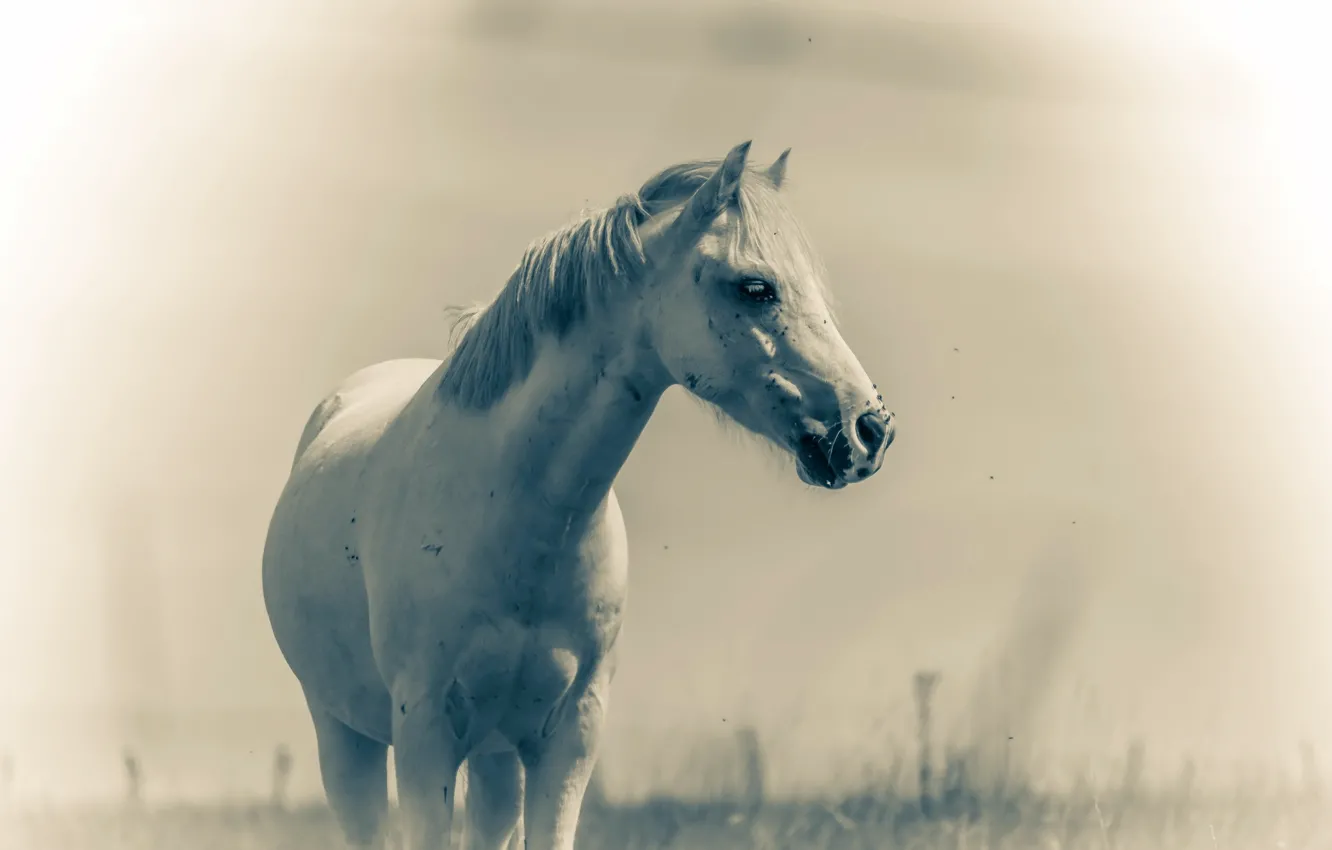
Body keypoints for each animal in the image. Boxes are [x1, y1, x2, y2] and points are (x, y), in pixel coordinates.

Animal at [261, 140, 896, 850]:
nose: (869, 430)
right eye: (756, 287)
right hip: (346, 736)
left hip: (494, 757)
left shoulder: (569, 736)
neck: (512, 513)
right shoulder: (424, 732)